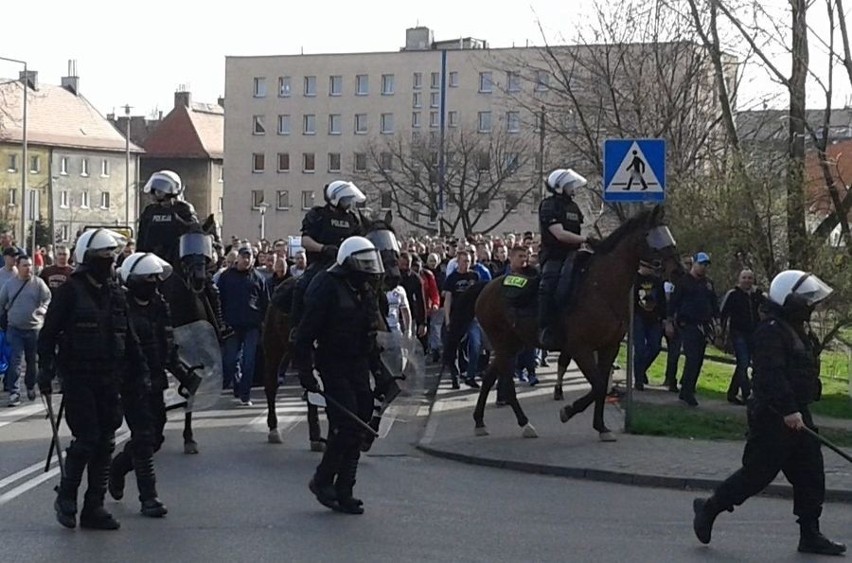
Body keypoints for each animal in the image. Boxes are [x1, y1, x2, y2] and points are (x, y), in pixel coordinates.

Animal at [462, 205, 684, 442]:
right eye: (652, 237)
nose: (678, 271)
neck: (601, 287)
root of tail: (486, 287)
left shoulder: (609, 347)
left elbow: (601, 386)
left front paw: (601, 427)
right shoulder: (580, 348)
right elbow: (598, 385)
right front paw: (568, 411)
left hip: (513, 344)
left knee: (489, 377)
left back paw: (480, 422)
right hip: (503, 344)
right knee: (507, 384)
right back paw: (524, 424)